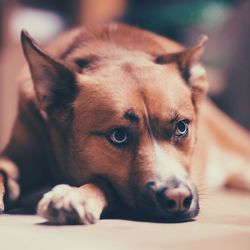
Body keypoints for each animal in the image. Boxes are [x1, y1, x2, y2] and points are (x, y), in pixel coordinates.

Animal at [0, 22, 250, 224]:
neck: (112, 50)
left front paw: (75, 195)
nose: (178, 198)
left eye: (181, 127)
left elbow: (104, 184)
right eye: (118, 135)